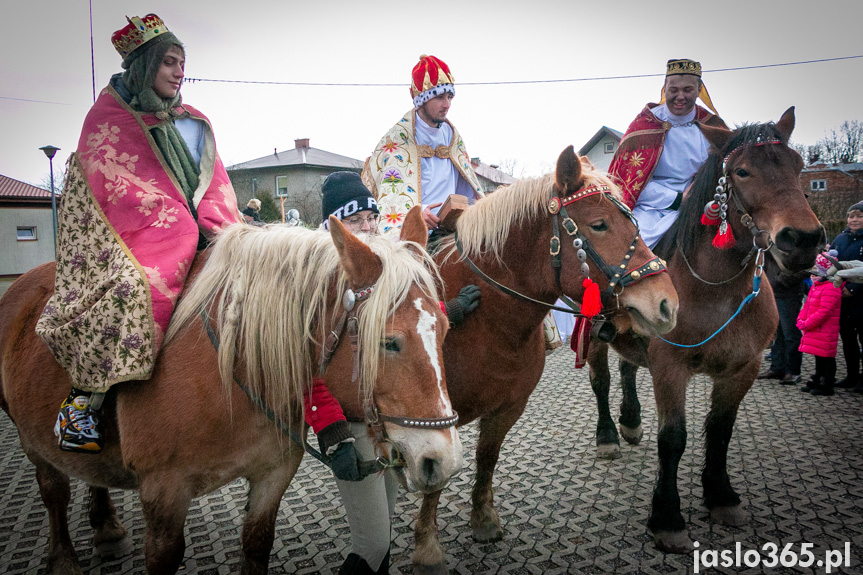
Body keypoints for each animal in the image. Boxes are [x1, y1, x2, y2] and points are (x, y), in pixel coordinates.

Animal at [0, 208, 466, 575]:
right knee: (54, 492)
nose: (440, 461)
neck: (231, 375)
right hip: (29, 438)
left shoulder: (273, 475)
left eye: (446, 329)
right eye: (389, 342)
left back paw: (106, 527)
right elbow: (163, 556)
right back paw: (64, 559)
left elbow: (257, 543)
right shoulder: (163, 493)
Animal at [408, 146, 680, 572]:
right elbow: (436, 477)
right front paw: (428, 548)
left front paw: (483, 519)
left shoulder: (508, 407)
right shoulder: (435, 419)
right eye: (599, 224)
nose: (667, 303)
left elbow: (487, 457)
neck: (487, 320)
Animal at [592, 108, 828, 552]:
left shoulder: (742, 368)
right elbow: (673, 438)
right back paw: (609, 436)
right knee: (601, 380)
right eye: (742, 171)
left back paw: (630, 421)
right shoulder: (671, 366)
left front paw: (721, 496)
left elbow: (720, 431)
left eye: (799, 167)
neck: (717, 289)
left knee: (629, 367)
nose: (803, 239)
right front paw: (667, 518)